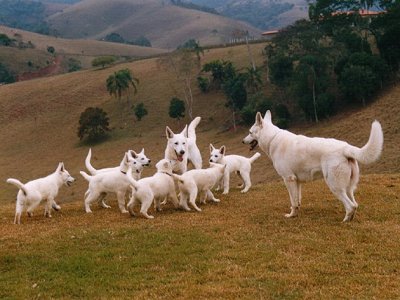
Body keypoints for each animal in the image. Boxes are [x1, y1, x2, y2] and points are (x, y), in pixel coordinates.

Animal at [242, 110, 382, 223]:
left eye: (249, 132)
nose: (242, 141)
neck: (272, 139)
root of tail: (345, 147)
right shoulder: (296, 181)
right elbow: (297, 200)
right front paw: (295, 213)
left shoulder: (288, 179)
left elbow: (293, 201)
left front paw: (291, 215)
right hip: (348, 187)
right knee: (355, 204)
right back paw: (351, 218)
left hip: (335, 187)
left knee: (350, 206)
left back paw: (345, 221)